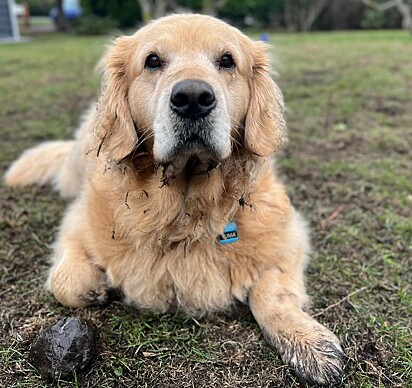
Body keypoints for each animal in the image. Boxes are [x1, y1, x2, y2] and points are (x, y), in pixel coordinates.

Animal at [5, 14, 344, 384]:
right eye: (152, 61)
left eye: (227, 61)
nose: (193, 97)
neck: (185, 211)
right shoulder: (77, 221)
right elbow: (67, 283)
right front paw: (97, 288)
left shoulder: (288, 236)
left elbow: (271, 293)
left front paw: (308, 341)